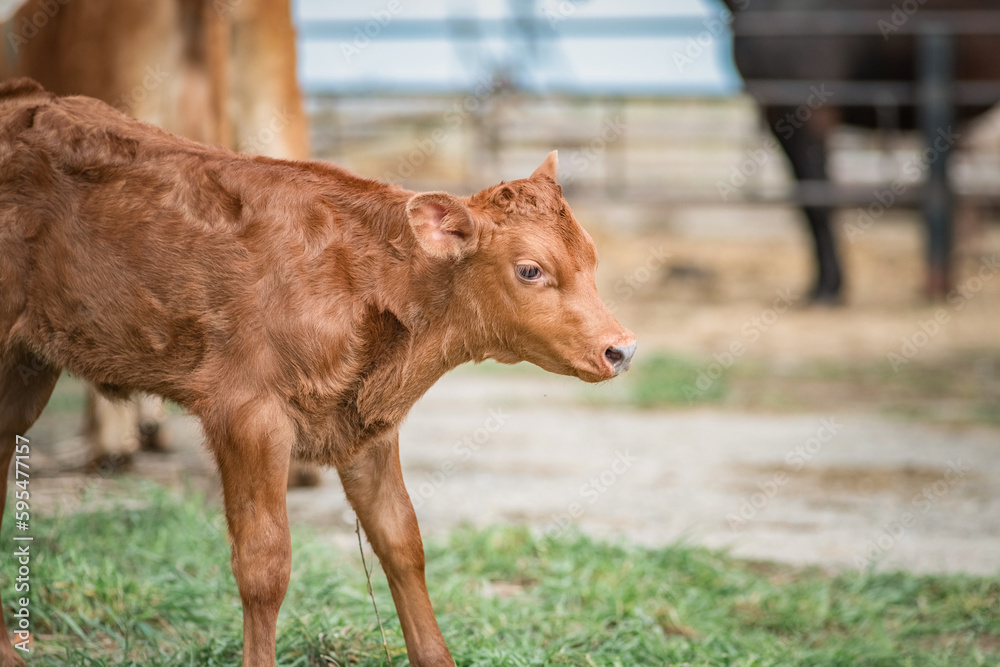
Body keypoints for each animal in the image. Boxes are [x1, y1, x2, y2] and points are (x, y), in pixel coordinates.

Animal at [0, 79, 636, 667]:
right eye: (530, 270)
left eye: (593, 258)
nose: (622, 349)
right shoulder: (247, 415)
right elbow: (264, 565)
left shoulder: (361, 423)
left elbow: (403, 541)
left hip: (26, 370)